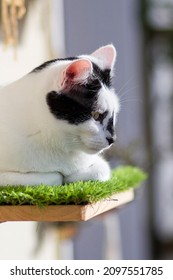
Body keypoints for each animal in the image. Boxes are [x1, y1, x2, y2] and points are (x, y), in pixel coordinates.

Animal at [0, 44, 119, 186]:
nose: (113, 139)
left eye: (114, 115)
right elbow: (52, 177)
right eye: (96, 115)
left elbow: (101, 169)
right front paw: (62, 177)